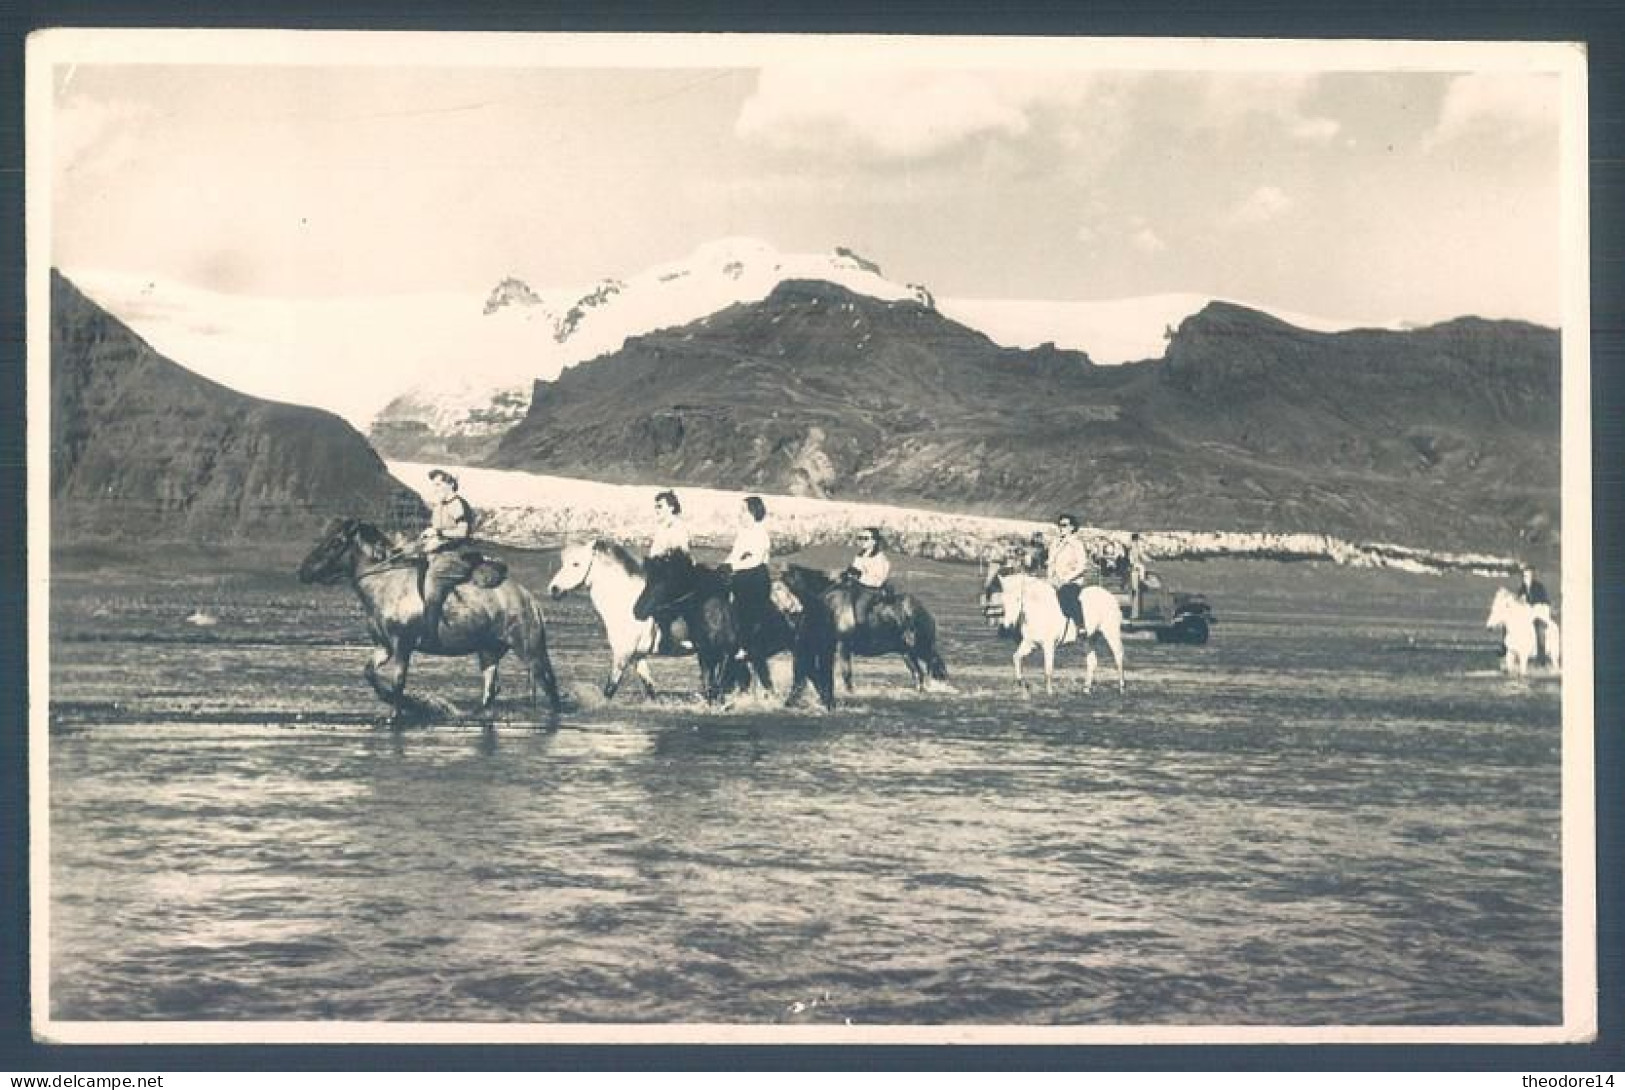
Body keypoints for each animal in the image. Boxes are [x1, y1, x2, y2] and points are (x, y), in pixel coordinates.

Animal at [300, 516, 565, 724]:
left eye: (335, 542)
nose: (303, 571)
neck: (386, 583)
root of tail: (529, 599)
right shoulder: (384, 647)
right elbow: (369, 673)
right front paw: (402, 702)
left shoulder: (402, 646)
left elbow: (398, 682)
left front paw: (399, 712)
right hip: (488, 651)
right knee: (491, 689)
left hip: (528, 650)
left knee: (548, 685)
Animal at [630, 558, 838, 711]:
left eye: (667, 581)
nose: (638, 610)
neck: (711, 608)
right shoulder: (705, 655)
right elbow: (710, 686)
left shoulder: (727, 655)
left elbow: (718, 685)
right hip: (801, 652)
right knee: (811, 679)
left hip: (805, 650)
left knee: (808, 680)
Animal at [776, 568, 949, 695]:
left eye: (781, 588)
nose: (788, 611)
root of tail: (926, 613)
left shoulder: (843, 645)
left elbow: (846, 672)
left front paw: (850, 692)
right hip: (907, 652)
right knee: (919, 673)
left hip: (921, 647)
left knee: (935, 665)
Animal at [981, 558, 1124, 695]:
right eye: (1003, 600)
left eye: (1017, 599)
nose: (1008, 626)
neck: (1038, 610)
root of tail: (1110, 596)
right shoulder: (1029, 644)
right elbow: (1016, 657)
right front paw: (1022, 683)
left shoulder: (1048, 645)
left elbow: (1048, 669)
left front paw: (1049, 692)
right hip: (1089, 638)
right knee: (1092, 661)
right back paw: (1086, 689)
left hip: (1110, 633)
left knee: (1118, 655)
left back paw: (1121, 687)